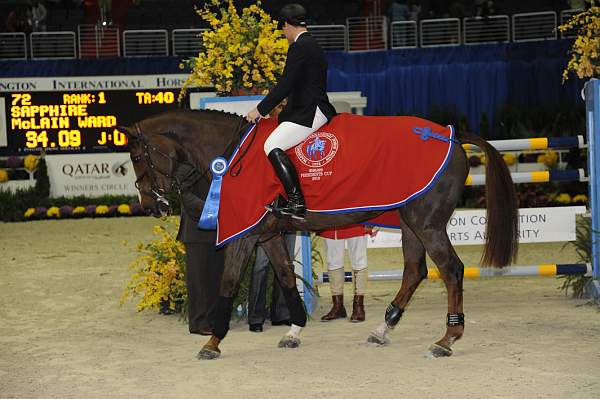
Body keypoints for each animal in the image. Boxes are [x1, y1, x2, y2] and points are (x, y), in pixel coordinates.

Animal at [119, 109, 516, 362]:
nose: (150, 205)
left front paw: (213, 341)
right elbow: (285, 277)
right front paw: (293, 330)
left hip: (427, 223)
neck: (232, 158)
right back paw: (382, 330)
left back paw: (446, 340)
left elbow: (229, 283)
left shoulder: (243, 236)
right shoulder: (268, 235)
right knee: (415, 271)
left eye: (138, 157)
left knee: (450, 271)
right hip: (410, 222)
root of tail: (448, 132)